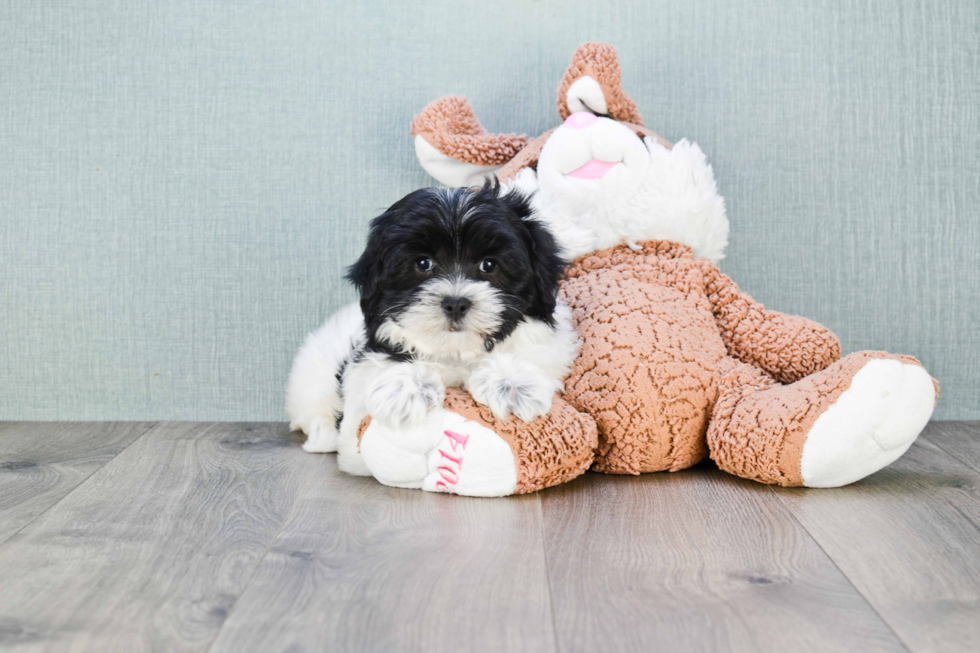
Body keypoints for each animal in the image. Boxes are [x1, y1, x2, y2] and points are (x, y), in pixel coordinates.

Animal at [284, 182, 580, 474]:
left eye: (489, 264)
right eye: (423, 263)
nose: (456, 303)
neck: (455, 351)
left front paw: (512, 384)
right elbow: (384, 364)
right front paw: (404, 389)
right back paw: (322, 436)